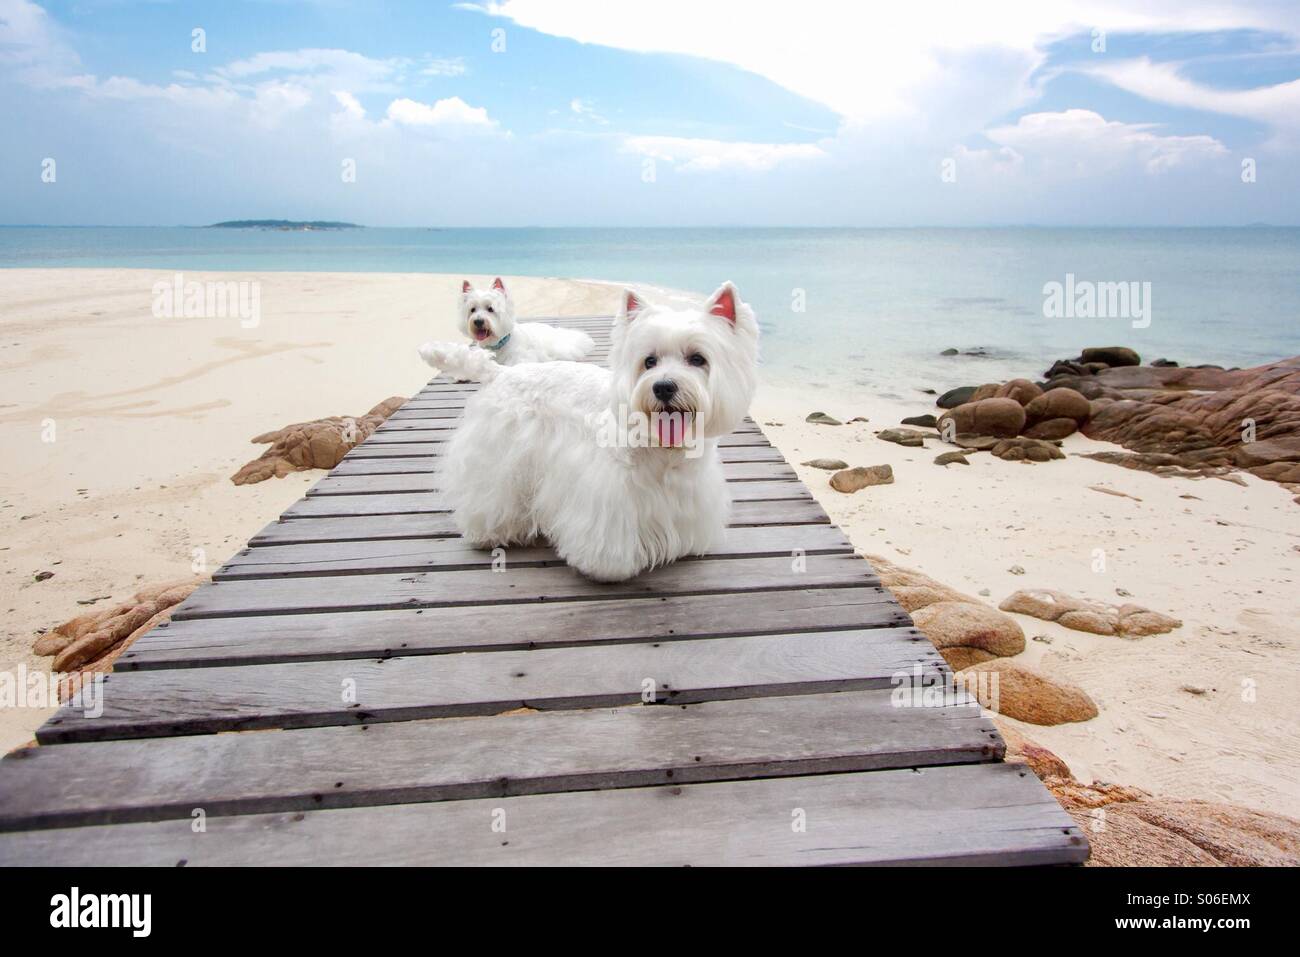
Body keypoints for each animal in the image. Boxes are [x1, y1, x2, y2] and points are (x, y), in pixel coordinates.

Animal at [434, 282, 759, 582]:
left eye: (697, 359)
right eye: (649, 361)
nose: (663, 387)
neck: (663, 448)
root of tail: (502, 372)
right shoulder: (610, 496)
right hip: (498, 456)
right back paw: (488, 532)